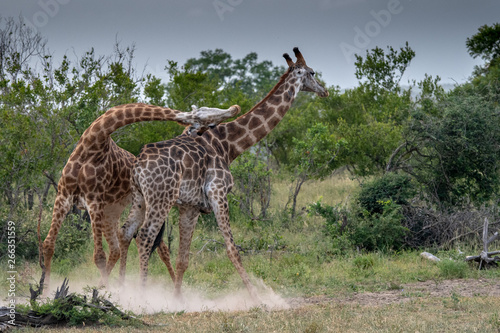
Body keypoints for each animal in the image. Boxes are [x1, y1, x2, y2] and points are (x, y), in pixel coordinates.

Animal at [40, 102, 240, 290]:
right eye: (210, 121)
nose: (234, 109)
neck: (93, 144)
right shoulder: (63, 197)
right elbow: (48, 245)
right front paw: (44, 292)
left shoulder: (93, 201)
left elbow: (99, 256)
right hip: (113, 212)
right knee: (119, 247)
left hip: (136, 208)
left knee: (156, 248)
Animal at [119, 47, 330, 298]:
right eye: (312, 72)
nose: (324, 91)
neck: (229, 145)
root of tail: (139, 164)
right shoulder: (218, 193)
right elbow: (232, 249)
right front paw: (257, 297)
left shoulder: (190, 206)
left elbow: (183, 259)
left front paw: (178, 300)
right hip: (161, 198)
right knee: (144, 237)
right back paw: (140, 295)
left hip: (140, 198)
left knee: (126, 232)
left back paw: (117, 287)